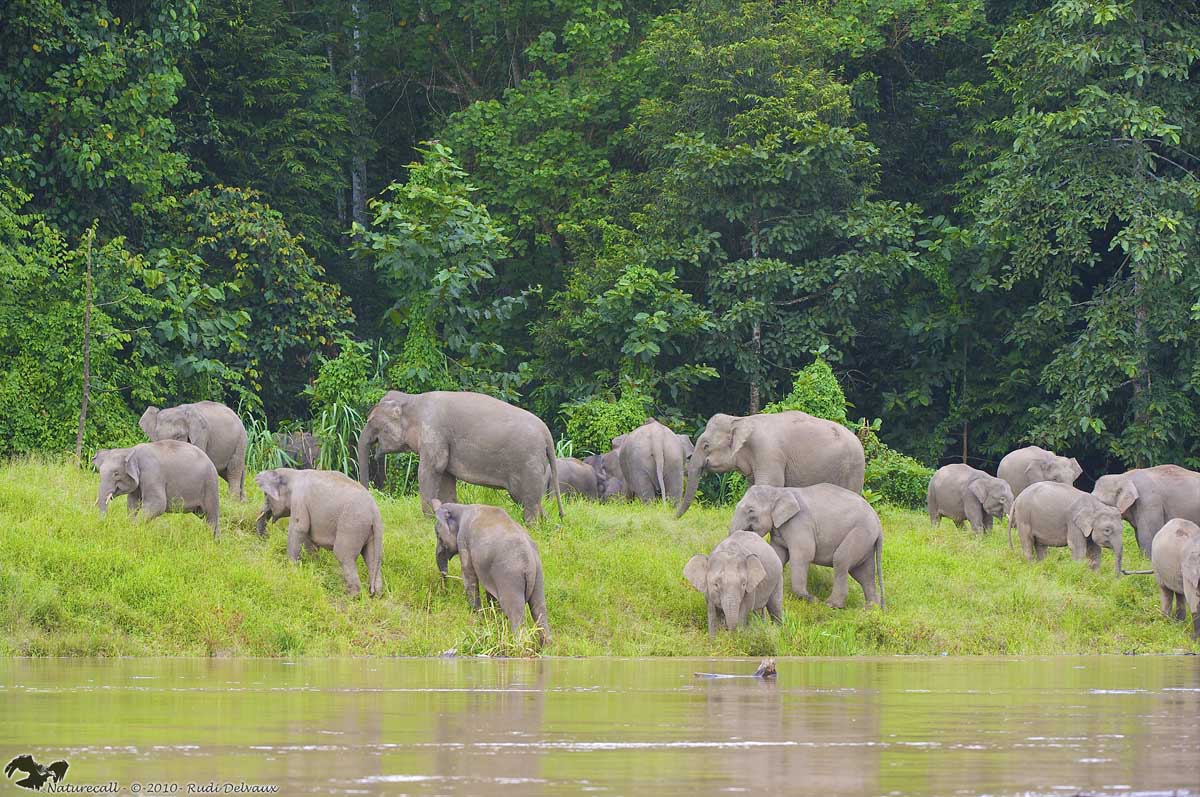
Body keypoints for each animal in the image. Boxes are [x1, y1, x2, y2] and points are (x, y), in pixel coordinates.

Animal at [255, 468, 383, 597]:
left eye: (266, 495)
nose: (266, 537)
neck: (293, 473)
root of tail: (375, 513)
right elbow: (309, 537)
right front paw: (314, 567)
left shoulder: (299, 500)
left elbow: (299, 528)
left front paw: (291, 569)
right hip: (370, 531)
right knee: (372, 558)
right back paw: (376, 594)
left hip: (351, 526)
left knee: (343, 555)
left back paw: (351, 596)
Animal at [356, 391, 563, 524]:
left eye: (370, 421)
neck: (411, 400)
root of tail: (547, 435)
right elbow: (446, 477)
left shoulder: (433, 431)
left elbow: (430, 469)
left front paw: (427, 521)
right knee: (530, 501)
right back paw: (550, 526)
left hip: (528, 464)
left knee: (528, 501)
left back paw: (532, 527)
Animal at [431, 500, 549, 643]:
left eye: (438, 534)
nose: (444, 580)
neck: (461, 507)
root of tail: (529, 562)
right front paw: (494, 619)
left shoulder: (464, 539)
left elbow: (469, 576)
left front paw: (478, 617)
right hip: (539, 575)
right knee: (539, 609)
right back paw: (546, 646)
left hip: (510, 577)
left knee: (515, 612)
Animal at [677, 410, 865, 517]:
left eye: (706, 445)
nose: (674, 517)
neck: (741, 420)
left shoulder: (769, 453)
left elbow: (769, 485)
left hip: (853, 470)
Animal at [730, 484, 885, 608]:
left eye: (751, 510)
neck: (779, 491)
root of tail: (878, 522)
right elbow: (778, 555)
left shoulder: (799, 522)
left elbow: (803, 555)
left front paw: (812, 600)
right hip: (866, 541)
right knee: (864, 573)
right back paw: (871, 609)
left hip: (860, 533)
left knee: (841, 561)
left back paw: (831, 605)